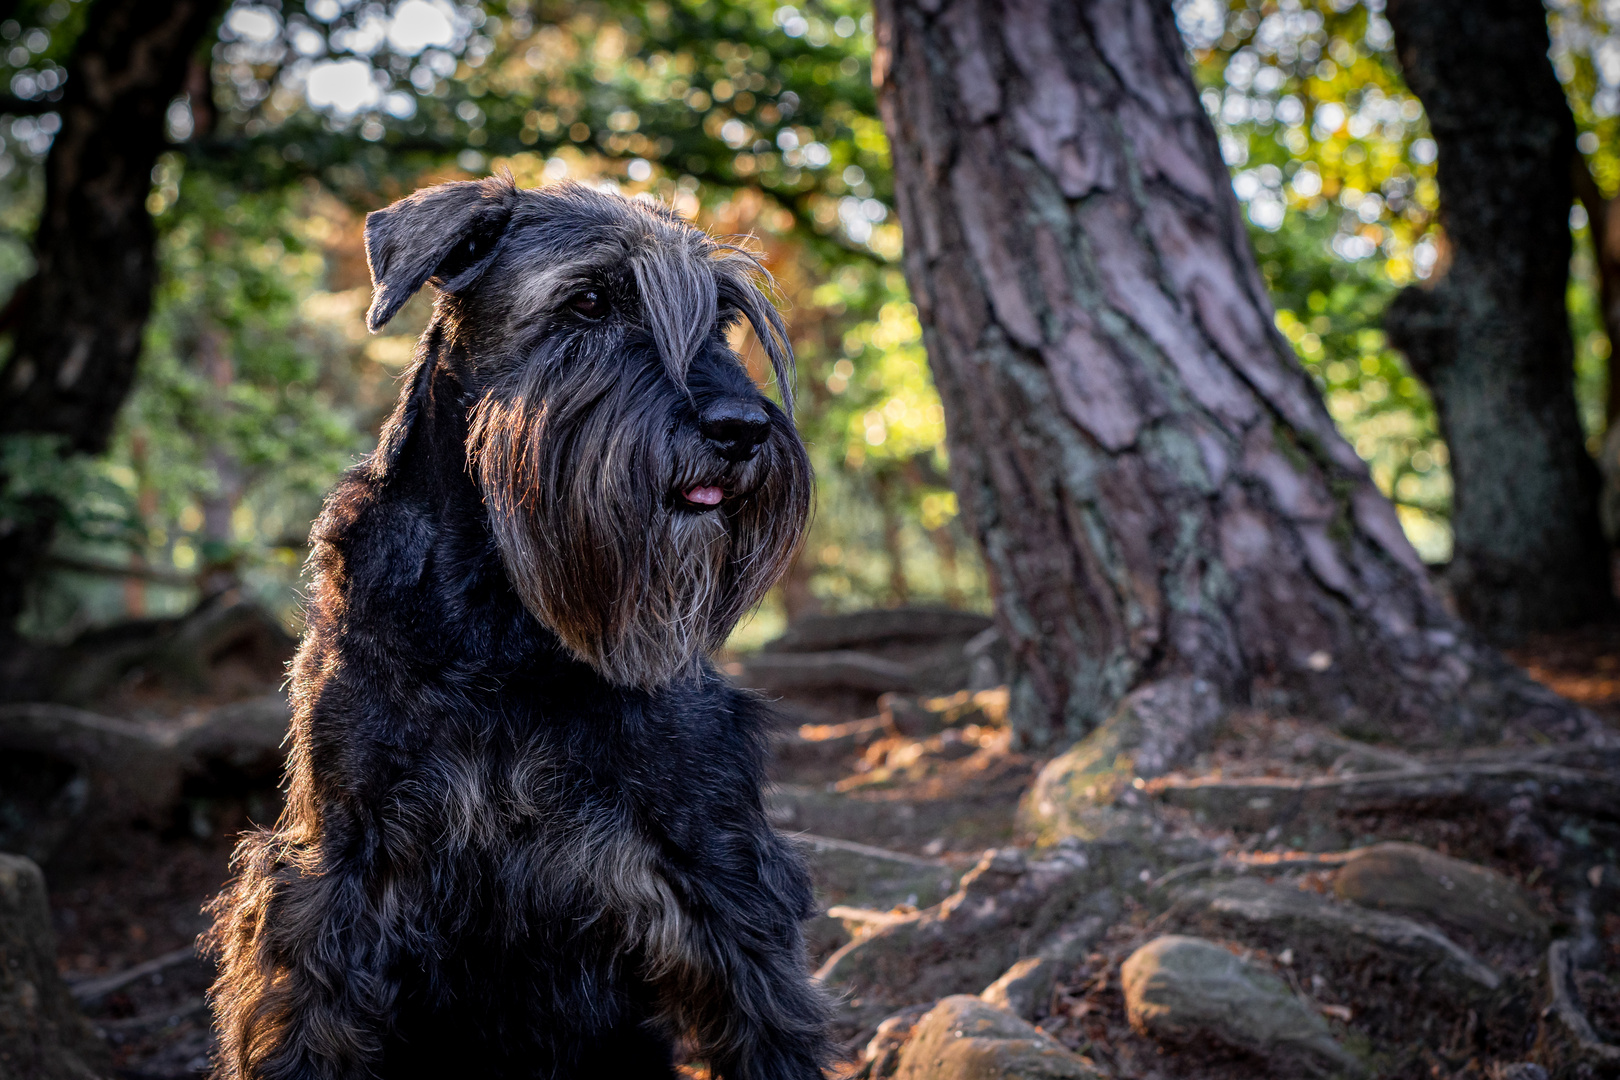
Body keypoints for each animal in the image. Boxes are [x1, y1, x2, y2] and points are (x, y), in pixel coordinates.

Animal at [205, 179, 822, 1080]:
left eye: (722, 320)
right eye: (590, 300)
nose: (742, 428)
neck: (503, 618)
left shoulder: (718, 862)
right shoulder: (335, 867)